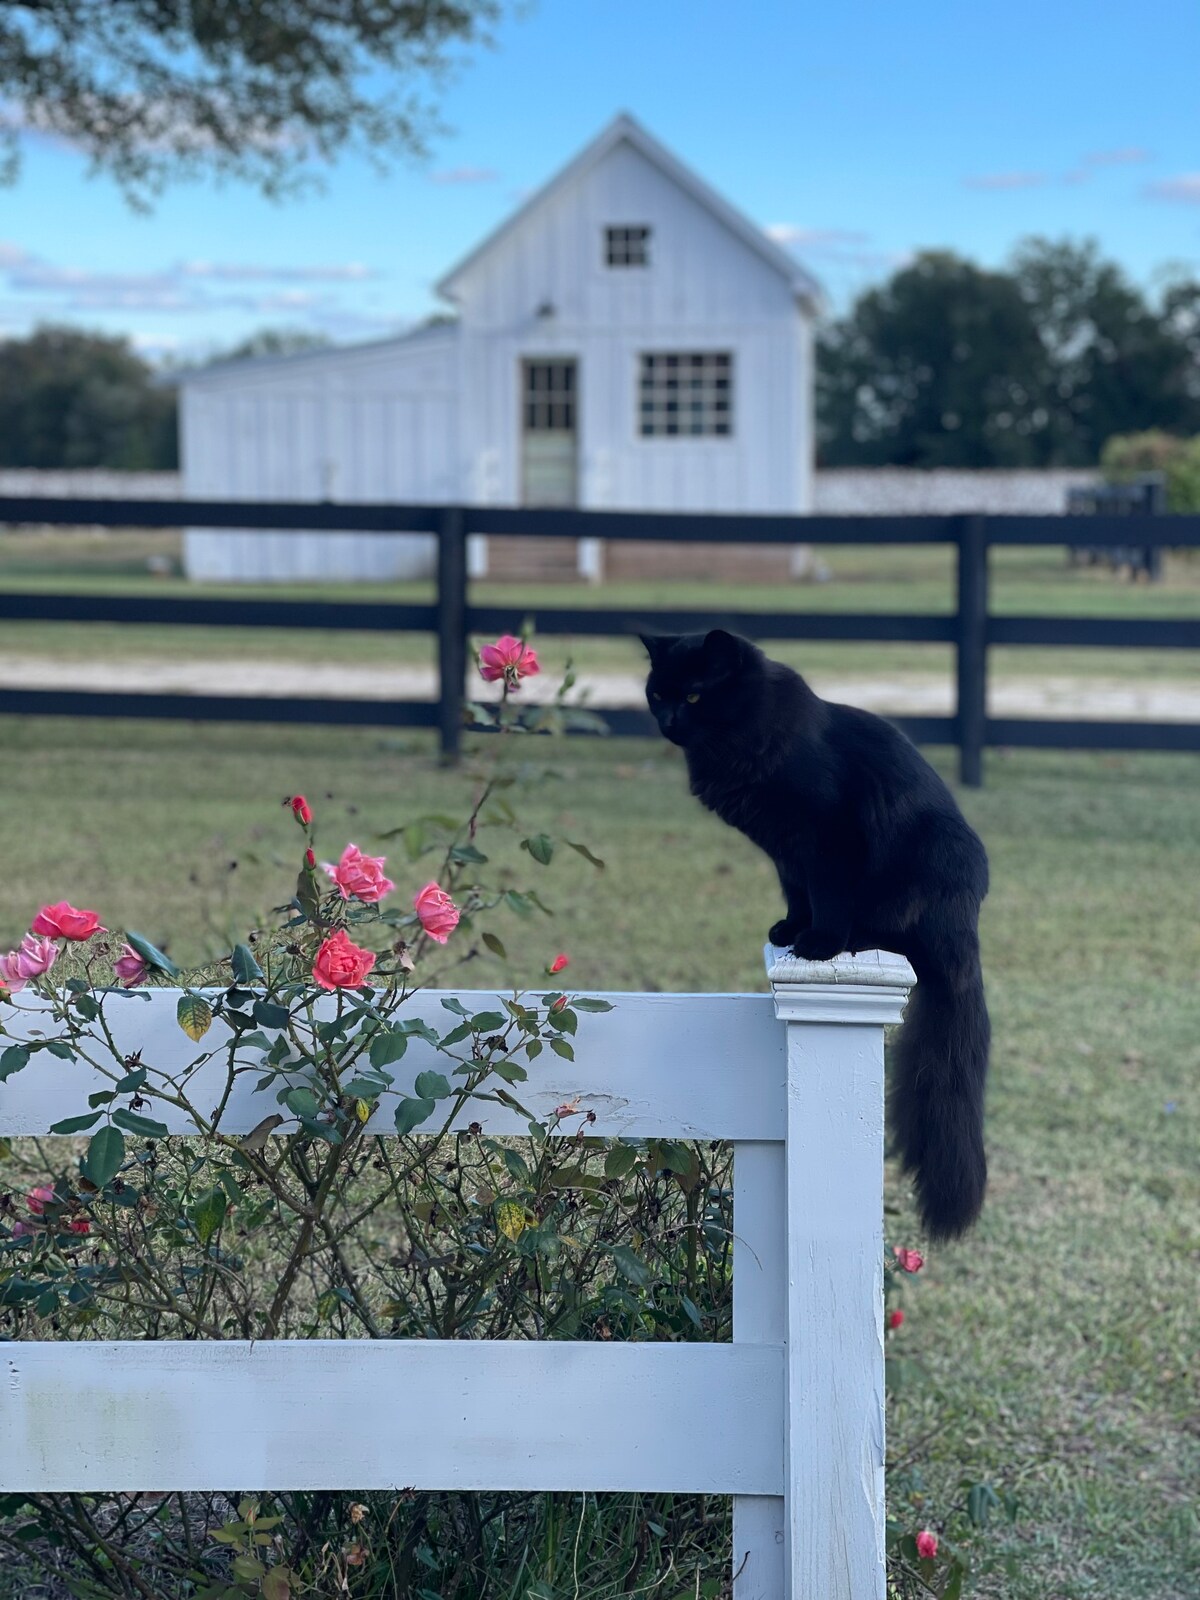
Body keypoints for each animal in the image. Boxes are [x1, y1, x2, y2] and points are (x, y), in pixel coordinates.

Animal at [643, 624, 992, 1235]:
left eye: (693, 695)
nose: (668, 722)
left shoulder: (827, 838)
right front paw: (789, 930)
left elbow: (827, 899)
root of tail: (964, 925)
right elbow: (798, 895)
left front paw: (819, 943)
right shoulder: (786, 853)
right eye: (658, 694)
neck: (740, 744)